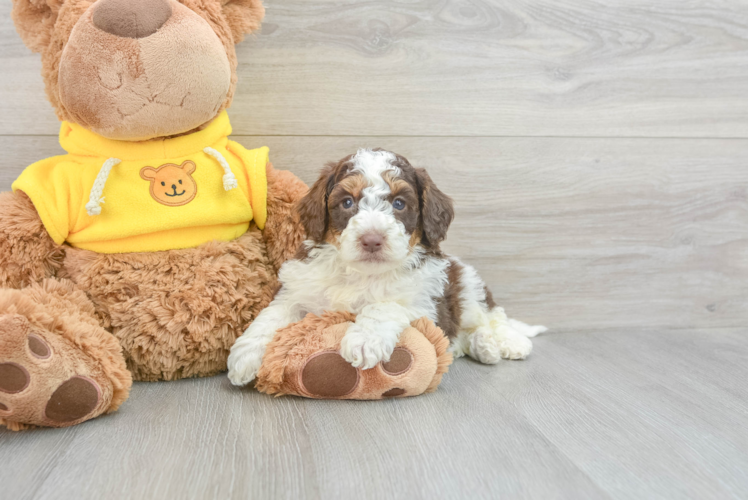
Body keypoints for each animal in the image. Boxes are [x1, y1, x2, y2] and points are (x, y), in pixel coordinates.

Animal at [226, 148, 544, 386]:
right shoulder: (299, 287)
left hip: (465, 282)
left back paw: (507, 342)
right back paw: (481, 347)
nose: (372, 240)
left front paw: (364, 340)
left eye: (400, 203)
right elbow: (274, 313)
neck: (362, 274)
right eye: (347, 202)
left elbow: (385, 305)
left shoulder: (425, 303)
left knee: (490, 316)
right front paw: (246, 354)